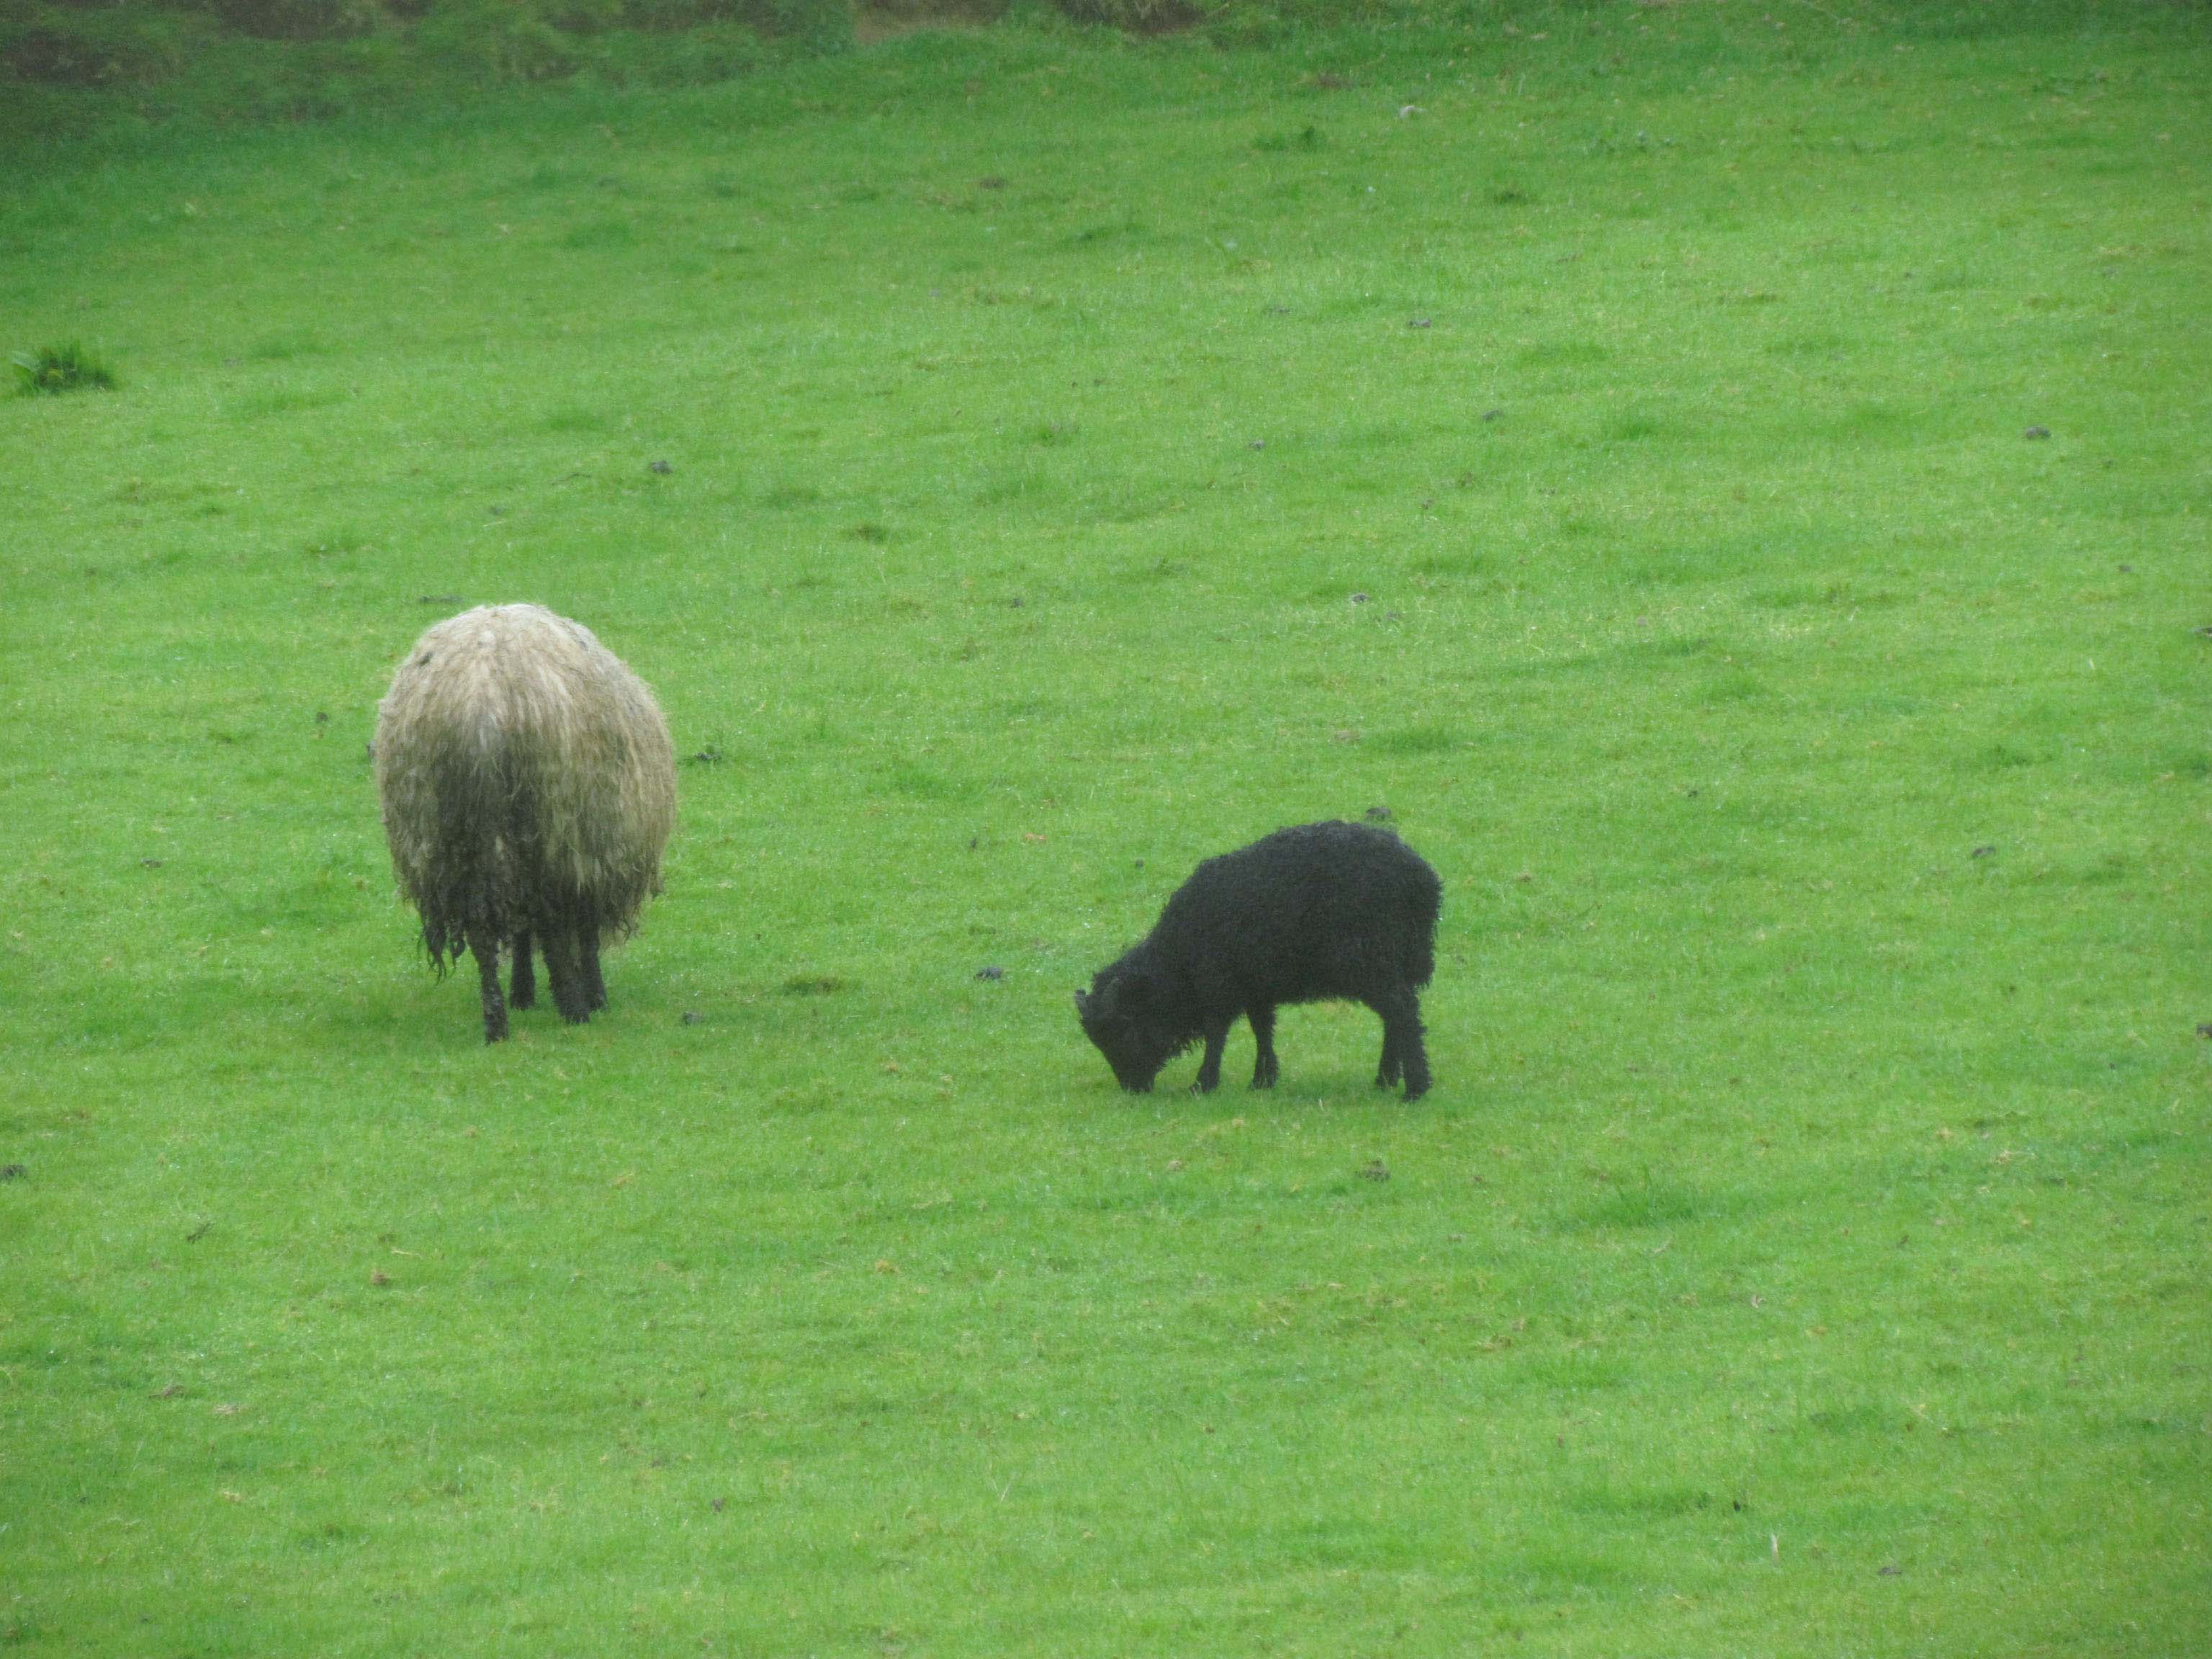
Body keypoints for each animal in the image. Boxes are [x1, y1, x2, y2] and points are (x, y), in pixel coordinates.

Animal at [374, 603, 676, 1043]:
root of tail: (482, 712)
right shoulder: (591, 860)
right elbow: (583, 936)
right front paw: (593, 995)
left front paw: (523, 992)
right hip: (553, 832)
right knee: (552, 928)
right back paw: (573, 1008)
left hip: (454, 843)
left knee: (483, 934)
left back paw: (497, 1022)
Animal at [1076, 821, 1441, 1100]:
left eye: (1124, 1025)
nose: (1132, 1088)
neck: (1179, 959)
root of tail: (1421, 881)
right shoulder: (1255, 986)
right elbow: (1262, 1029)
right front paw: (1263, 1080)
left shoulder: (1219, 985)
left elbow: (1217, 1034)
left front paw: (1203, 1083)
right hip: (1393, 961)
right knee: (1396, 1016)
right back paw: (1386, 1079)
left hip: (1370, 959)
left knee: (1402, 1012)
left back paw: (1415, 1088)